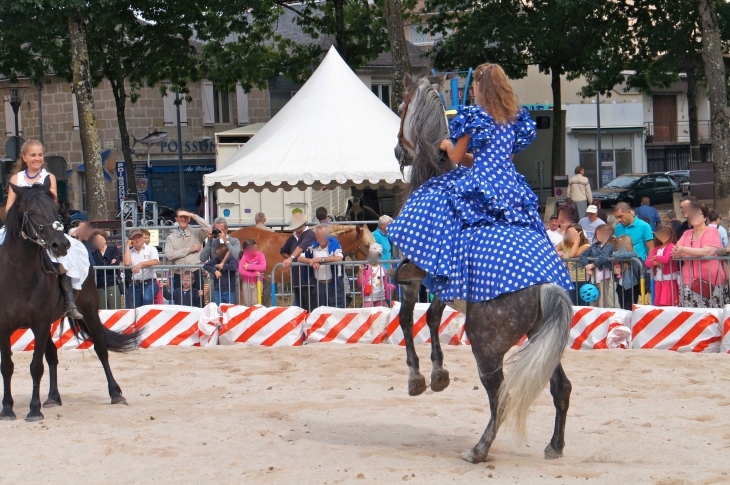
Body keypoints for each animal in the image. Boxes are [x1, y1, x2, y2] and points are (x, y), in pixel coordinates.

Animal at [0, 180, 137, 422]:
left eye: (56, 210)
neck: (19, 274)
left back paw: (115, 393)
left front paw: (34, 410)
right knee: (52, 355)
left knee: (101, 349)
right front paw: (7, 409)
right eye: (31, 212)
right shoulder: (5, 326)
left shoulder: (40, 323)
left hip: (88, 309)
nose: (60, 245)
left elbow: (36, 366)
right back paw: (53, 397)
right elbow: (7, 366)